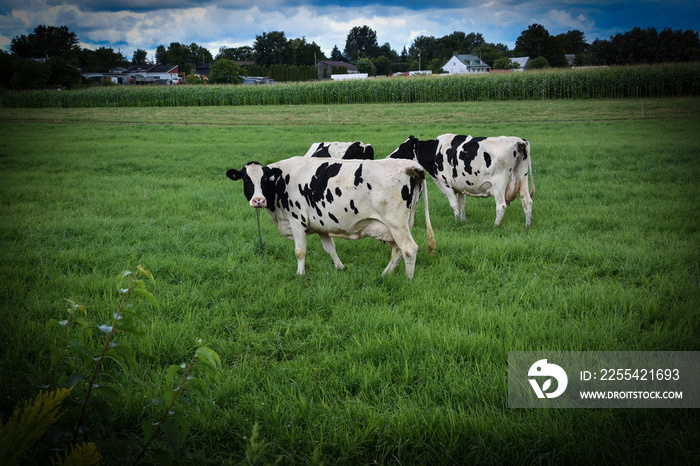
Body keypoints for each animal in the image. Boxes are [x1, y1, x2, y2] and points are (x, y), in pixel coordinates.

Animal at [226, 158, 432, 278]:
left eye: (264, 179)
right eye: (246, 179)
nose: (258, 200)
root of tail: (409, 165)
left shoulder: (297, 221)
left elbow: (300, 251)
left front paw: (300, 274)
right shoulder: (321, 225)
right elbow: (330, 248)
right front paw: (340, 268)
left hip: (396, 223)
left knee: (408, 249)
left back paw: (408, 279)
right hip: (397, 225)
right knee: (397, 251)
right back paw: (385, 274)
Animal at [388, 133, 536, 228]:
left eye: (404, 147)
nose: (389, 157)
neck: (436, 150)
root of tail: (518, 141)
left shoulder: (445, 183)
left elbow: (454, 205)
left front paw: (457, 221)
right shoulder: (460, 186)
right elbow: (461, 204)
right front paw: (463, 221)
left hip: (499, 181)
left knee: (501, 205)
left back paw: (495, 226)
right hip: (522, 176)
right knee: (527, 201)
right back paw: (528, 226)